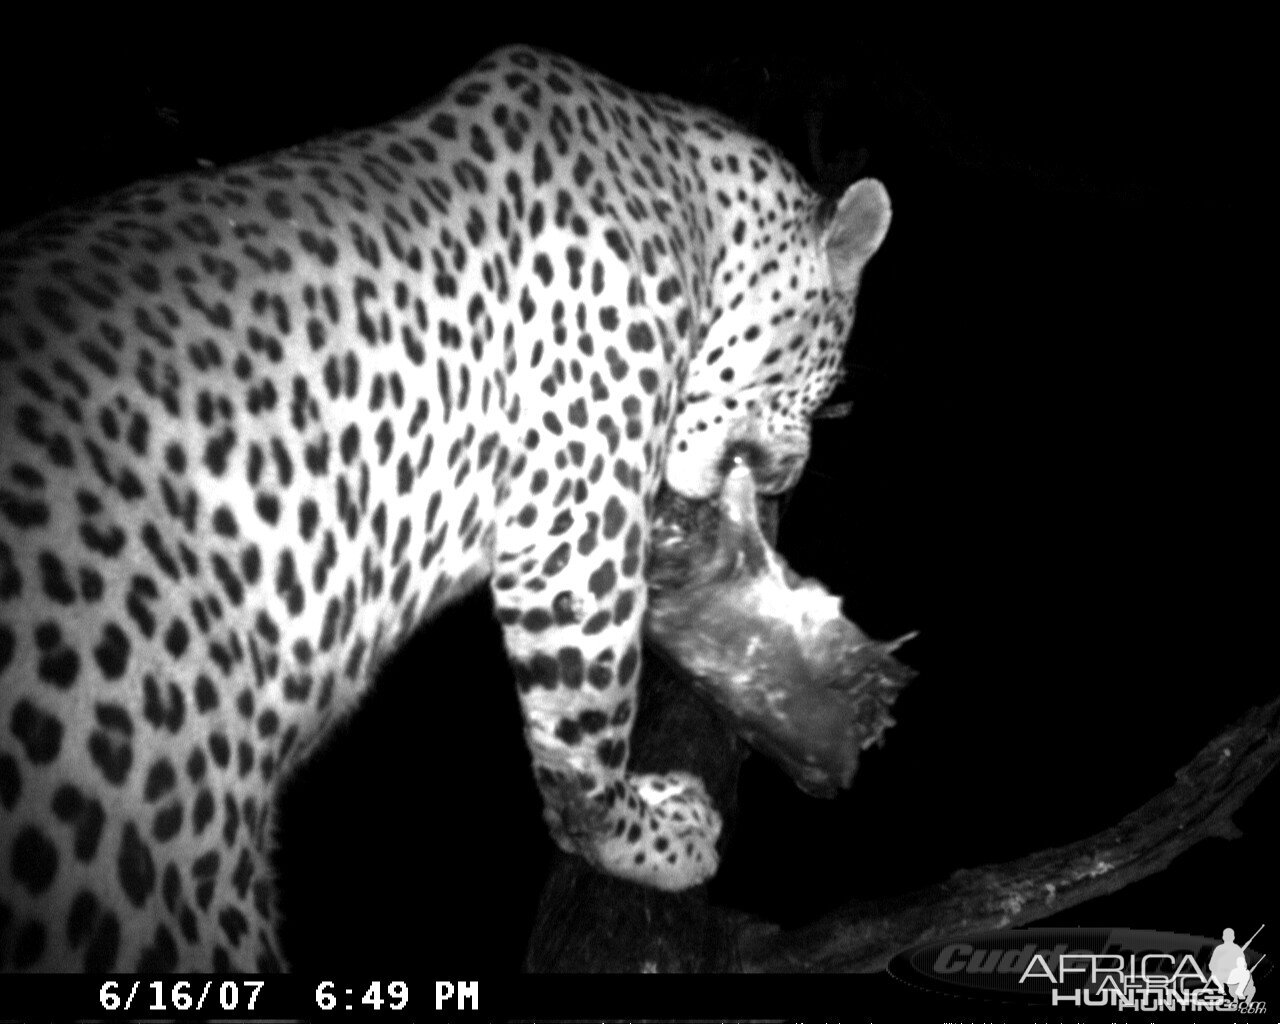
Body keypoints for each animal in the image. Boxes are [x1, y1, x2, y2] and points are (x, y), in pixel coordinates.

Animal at [0, 46, 890, 967]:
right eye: (829, 377)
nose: (787, 476)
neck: (692, 205)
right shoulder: (572, 532)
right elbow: (584, 739)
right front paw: (645, 839)